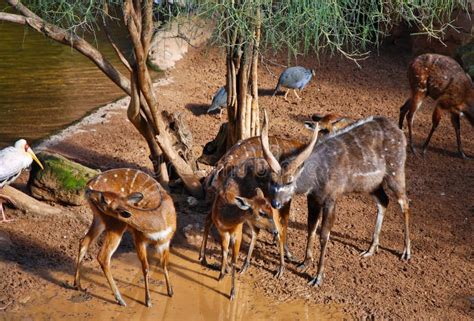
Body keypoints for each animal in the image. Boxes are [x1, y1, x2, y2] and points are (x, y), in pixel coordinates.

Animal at [73, 168, 177, 304]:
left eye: (104, 198)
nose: (89, 192)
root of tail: (89, 183)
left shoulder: (165, 241)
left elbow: (164, 264)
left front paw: (170, 292)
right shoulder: (139, 238)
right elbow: (145, 267)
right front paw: (148, 301)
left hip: (100, 218)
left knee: (83, 241)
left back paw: (78, 285)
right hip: (116, 223)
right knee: (103, 256)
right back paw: (120, 299)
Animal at [260, 110, 412, 284]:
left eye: (289, 181)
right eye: (272, 180)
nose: (275, 203)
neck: (317, 173)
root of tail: (398, 131)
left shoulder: (330, 199)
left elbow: (324, 235)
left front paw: (318, 277)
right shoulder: (313, 199)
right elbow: (311, 228)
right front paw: (305, 263)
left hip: (395, 173)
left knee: (404, 202)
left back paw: (406, 252)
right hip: (372, 185)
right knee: (384, 201)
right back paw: (370, 249)